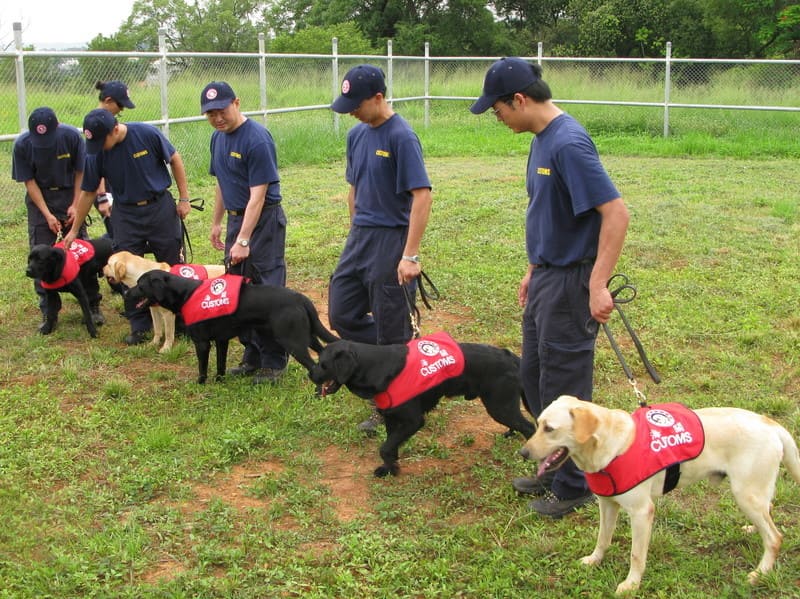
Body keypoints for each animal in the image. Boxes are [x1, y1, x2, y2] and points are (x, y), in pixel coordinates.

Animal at [127, 270, 338, 382]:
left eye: (140, 285)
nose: (127, 293)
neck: (187, 293)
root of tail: (300, 298)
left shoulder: (202, 343)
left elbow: (202, 368)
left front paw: (200, 383)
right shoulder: (222, 340)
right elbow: (220, 364)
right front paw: (220, 380)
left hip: (292, 341)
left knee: (313, 364)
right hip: (307, 336)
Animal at [310, 338, 536, 478]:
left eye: (322, 364)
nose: (309, 374)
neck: (375, 366)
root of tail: (512, 357)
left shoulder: (413, 421)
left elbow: (384, 448)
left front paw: (390, 469)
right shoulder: (392, 419)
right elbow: (389, 447)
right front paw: (390, 469)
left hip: (499, 406)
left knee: (529, 427)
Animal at [520, 394, 796, 596]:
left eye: (549, 428)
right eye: (538, 424)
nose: (523, 452)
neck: (610, 446)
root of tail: (771, 424)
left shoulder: (642, 512)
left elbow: (636, 555)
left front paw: (631, 585)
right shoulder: (607, 504)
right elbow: (603, 538)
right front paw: (595, 560)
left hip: (745, 493)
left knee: (775, 537)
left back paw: (760, 572)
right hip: (753, 493)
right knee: (768, 513)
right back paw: (752, 530)